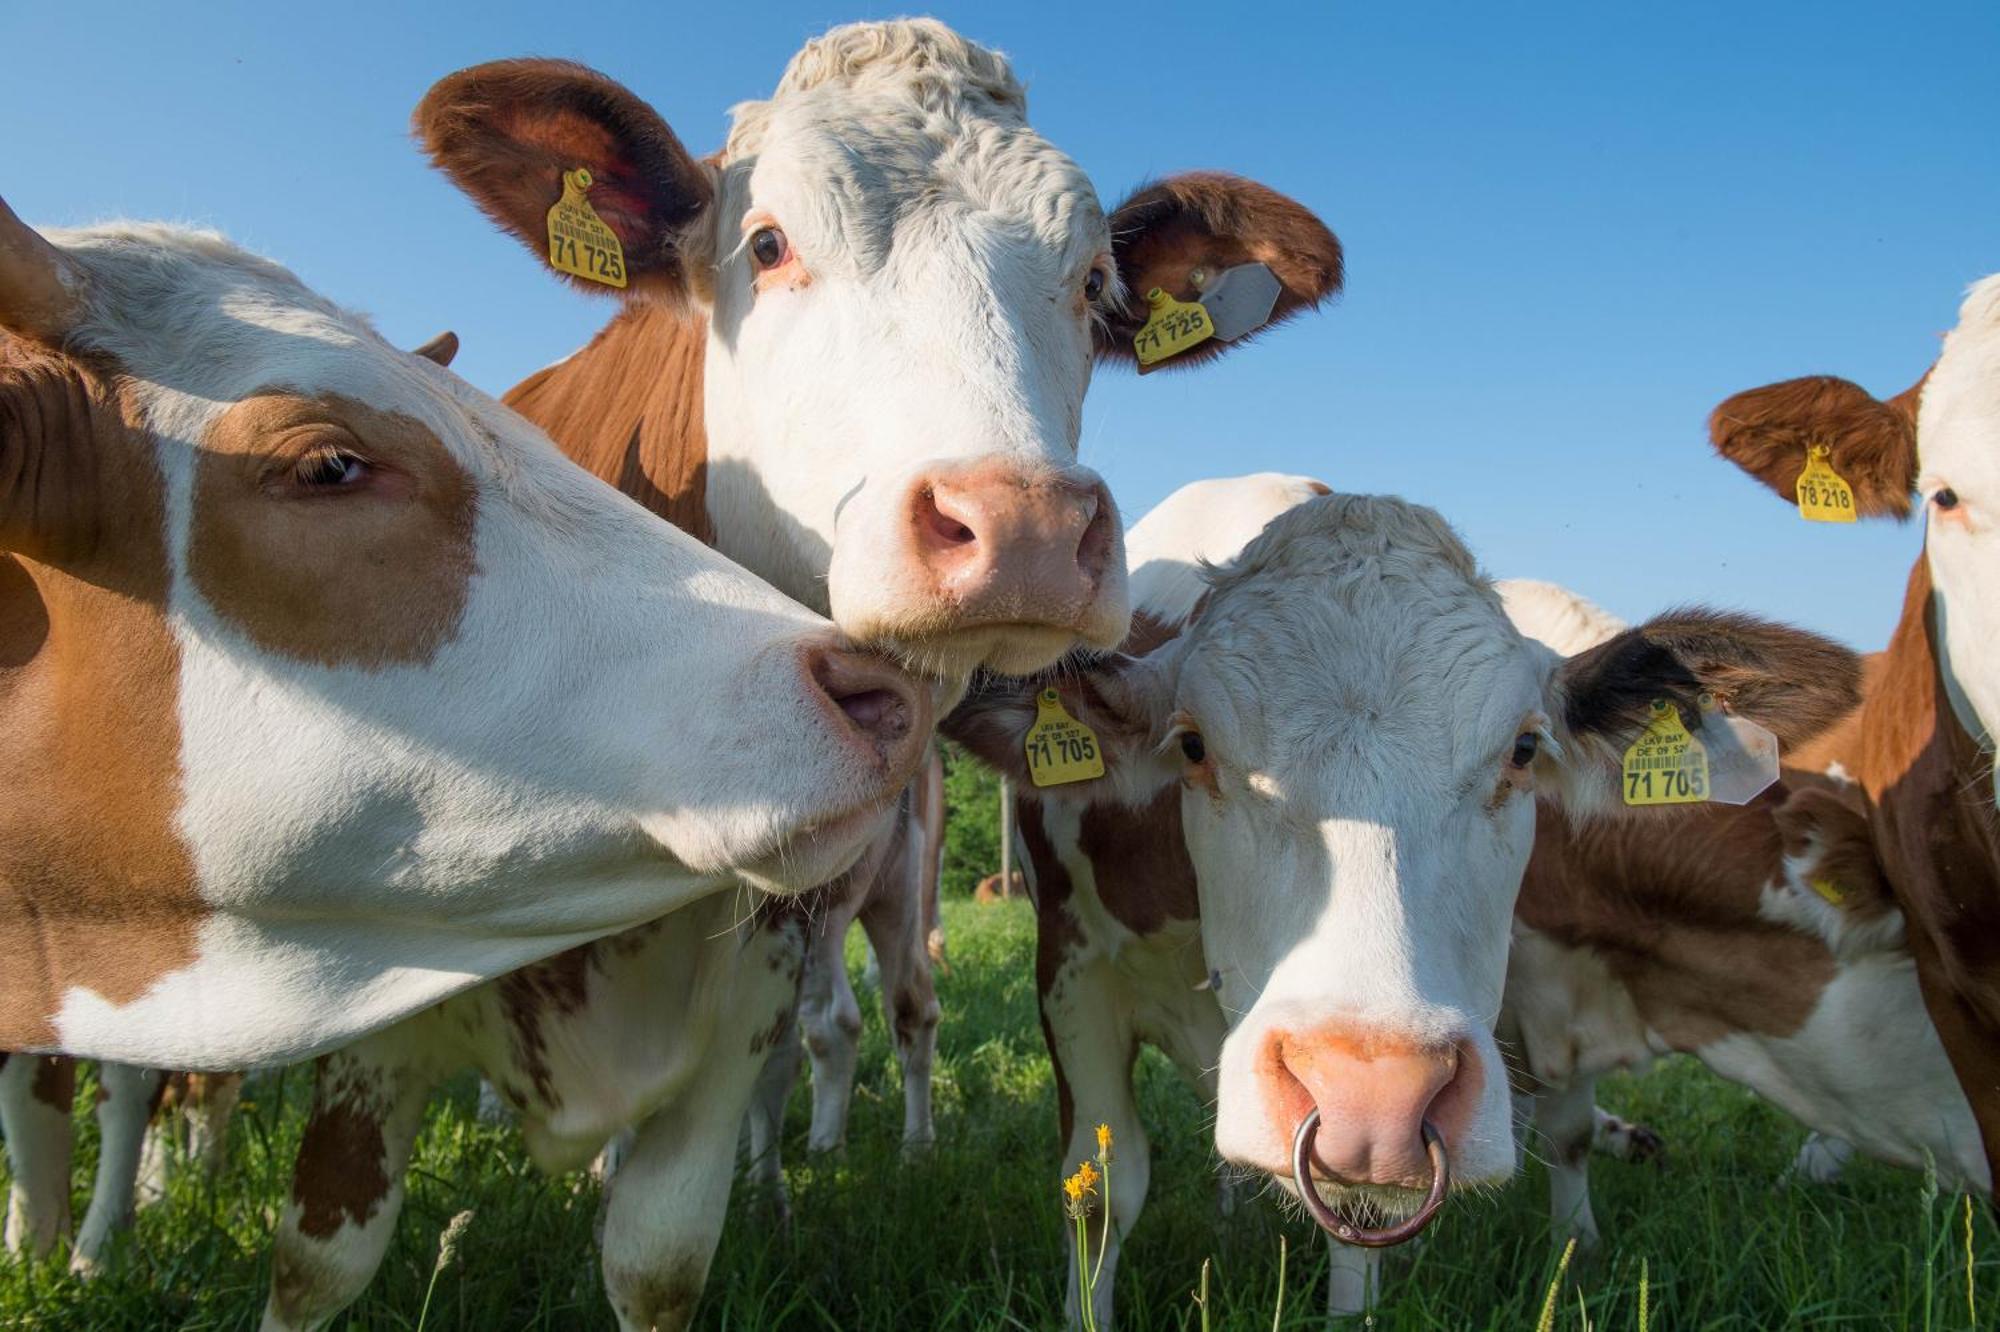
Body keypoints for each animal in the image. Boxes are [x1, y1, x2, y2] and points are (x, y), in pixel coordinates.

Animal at [254, 20, 1344, 1328]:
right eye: (768, 244)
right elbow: (319, 1263)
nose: (1023, 527)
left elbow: (661, 1250)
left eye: (1093, 287)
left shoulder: (748, 979)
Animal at [944, 474, 1864, 1320]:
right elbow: (1100, 1193)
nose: (1374, 1097)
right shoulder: (1073, 970)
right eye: (1194, 747)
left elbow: (1358, 1231)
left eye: (1524, 750)